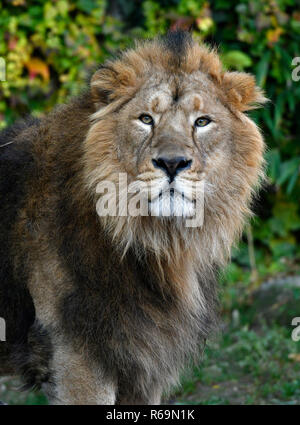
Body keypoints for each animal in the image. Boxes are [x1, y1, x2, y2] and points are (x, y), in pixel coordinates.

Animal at [0, 30, 268, 404]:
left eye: (202, 122)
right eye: (145, 119)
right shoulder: (77, 357)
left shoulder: (142, 366)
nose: (172, 163)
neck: (155, 243)